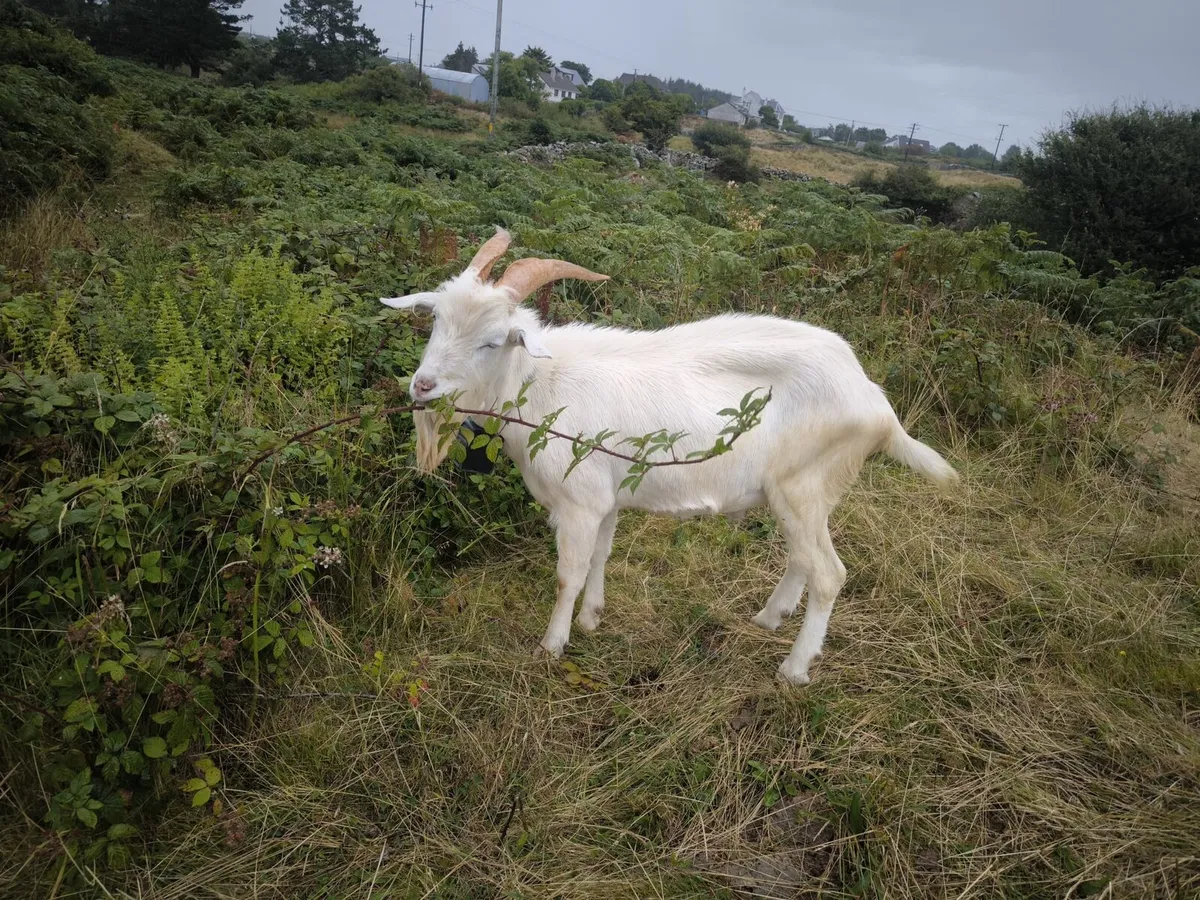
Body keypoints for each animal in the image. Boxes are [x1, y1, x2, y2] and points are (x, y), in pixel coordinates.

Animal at [382, 229, 957, 684]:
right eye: (435, 321)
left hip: (803, 484)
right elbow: (601, 556)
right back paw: (769, 618)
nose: (422, 386)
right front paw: (592, 618)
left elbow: (569, 573)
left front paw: (552, 644)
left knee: (830, 574)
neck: (541, 383)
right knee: (804, 558)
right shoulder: (606, 497)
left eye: (493, 341)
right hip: (807, 493)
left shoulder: (578, 501)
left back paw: (794, 669)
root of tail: (876, 403)